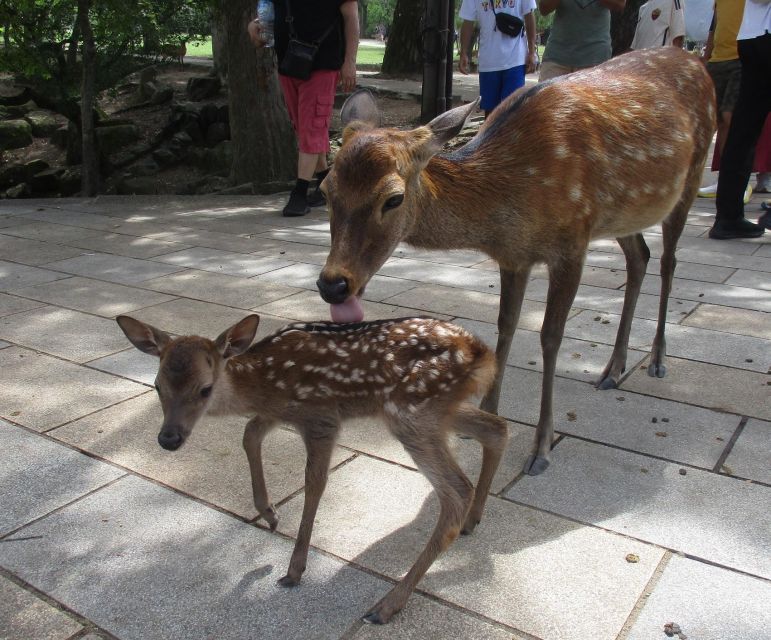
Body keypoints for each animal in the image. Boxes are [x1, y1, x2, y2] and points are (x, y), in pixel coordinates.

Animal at [116, 313, 508, 624]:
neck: (262, 383)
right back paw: (473, 520)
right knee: (497, 428)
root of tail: (483, 353)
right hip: (438, 411)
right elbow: (249, 435)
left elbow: (314, 483)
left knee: (457, 488)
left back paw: (385, 606)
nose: (168, 438)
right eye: (157, 386)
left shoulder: (320, 416)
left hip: (411, 411)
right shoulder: (279, 412)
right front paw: (269, 513)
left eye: (204, 389)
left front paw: (294, 569)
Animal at [316, 47, 716, 476]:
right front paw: (486, 414)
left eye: (393, 198)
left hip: (692, 175)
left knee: (669, 262)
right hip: (623, 214)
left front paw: (541, 448)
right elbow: (505, 326)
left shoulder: (572, 241)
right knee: (640, 256)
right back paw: (613, 369)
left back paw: (657, 359)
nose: (332, 284)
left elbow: (550, 336)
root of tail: (696, 60)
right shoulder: (514, 256)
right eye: (325, 189)